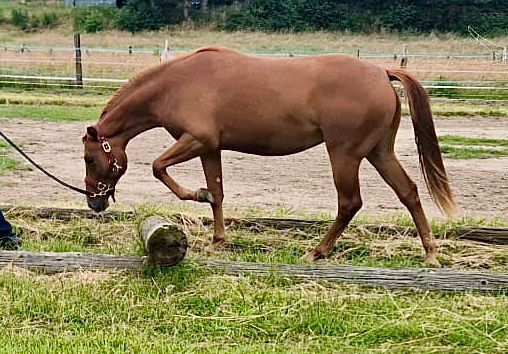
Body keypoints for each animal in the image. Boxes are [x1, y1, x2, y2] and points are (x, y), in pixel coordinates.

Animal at [83, 46, 456, 266]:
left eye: (89, 159)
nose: (94, 202)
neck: (177, 84)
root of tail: (381, 72)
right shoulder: (210, 148)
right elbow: (218, 193)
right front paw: (218, 240)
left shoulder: (197, 140)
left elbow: (158, 167)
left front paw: (197, 195)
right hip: (379, 152)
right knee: (408, 192)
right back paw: (430, 255)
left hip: (345, 154)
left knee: (350, 202)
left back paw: (317, 251)